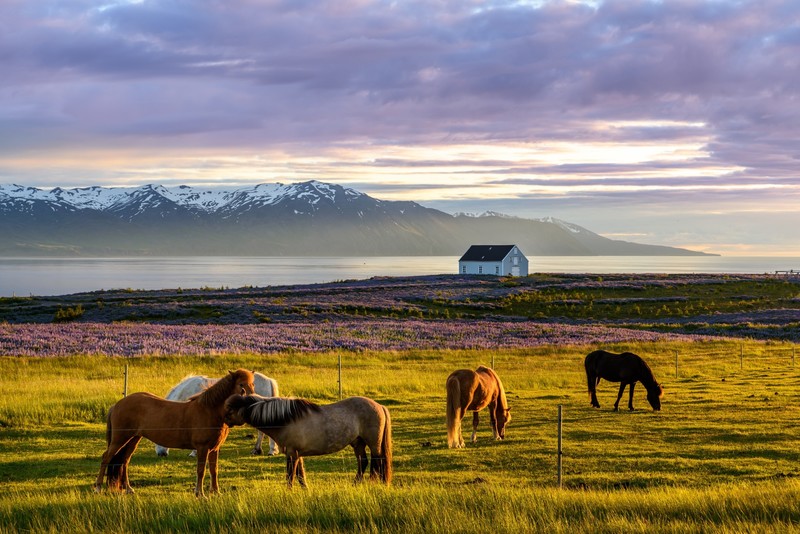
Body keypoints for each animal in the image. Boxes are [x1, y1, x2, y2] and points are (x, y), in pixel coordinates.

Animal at [94, 369, 255, 496]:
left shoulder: (214, 449)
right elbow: (201, 470)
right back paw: (98, 488)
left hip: (133, 439)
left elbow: (213, 470)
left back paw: (128, 489)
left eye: (252, 384)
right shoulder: (202, 448)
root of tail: (117, 405)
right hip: (120, 439)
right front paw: (200, 494)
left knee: (125, 461)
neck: (209, 410)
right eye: (241, 385)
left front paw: (216, 492)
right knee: (106, 457)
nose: (252, 401)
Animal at [224, 394, 393, 488]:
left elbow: (290, 476)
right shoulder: (297, 454)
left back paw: (379, 484)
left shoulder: (292, 454)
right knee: (363, 462)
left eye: (230, 411)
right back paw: (355, 484)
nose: (223, 422)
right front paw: (306, 490)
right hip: (358, 442)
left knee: (378, 462)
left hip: (374, 443)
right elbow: (300, 475)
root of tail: (379, 406)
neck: (286, 419)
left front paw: (289, 492)